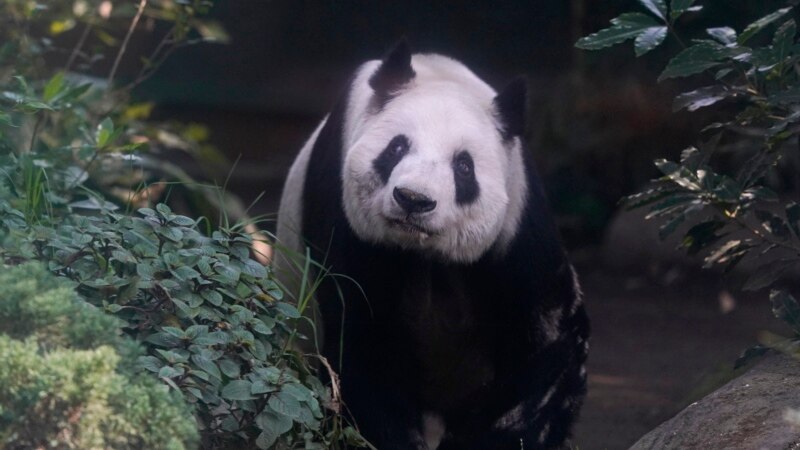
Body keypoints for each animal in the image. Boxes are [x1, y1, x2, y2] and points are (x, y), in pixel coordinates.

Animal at [275, 40, 589, 450]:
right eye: (396, 148)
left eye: (464, 166)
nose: (414, 199)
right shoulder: (342, 213)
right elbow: (362, 339)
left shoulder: (517, 223)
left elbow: (548, 341)